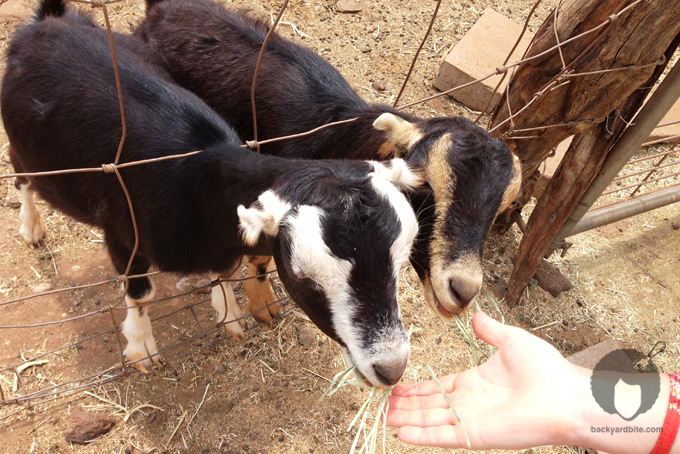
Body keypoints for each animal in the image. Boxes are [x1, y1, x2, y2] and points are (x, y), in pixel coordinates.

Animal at [137, 0, 520, 322]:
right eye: (422, 184)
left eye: (500, 210)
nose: (463, 290)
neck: (339, 136)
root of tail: (162, 8)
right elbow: (259, 252)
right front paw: (262, 304)